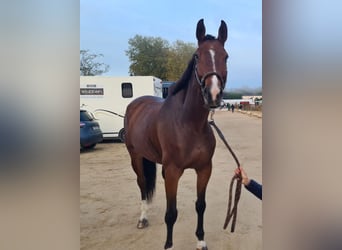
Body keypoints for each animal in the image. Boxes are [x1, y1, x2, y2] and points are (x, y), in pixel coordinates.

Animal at [124, 18, 228, 249]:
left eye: (226, 56)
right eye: (197, 55)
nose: (213, 94)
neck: (190, 125)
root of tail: (136, 104)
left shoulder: (204, 169)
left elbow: (201, 205)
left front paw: (201, 240)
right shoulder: (172, 172)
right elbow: (171, 213)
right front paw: (168, 245)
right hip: (136, 156)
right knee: (142, 184)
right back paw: (142, 219)